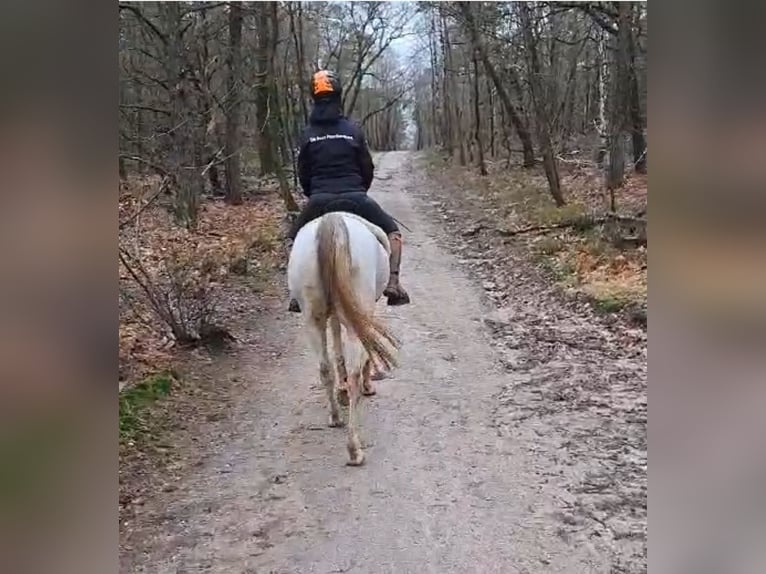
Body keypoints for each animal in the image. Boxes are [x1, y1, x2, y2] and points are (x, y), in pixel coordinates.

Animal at [284, 212, 400, 468]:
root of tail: (332, 222)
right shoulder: (364, 313)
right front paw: (366, 385)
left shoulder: (336, 314)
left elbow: (337, 349)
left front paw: (342, 389)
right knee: (354, 370)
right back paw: (354, 449)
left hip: (312, 318)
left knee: (324, 367)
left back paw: (336, 416)